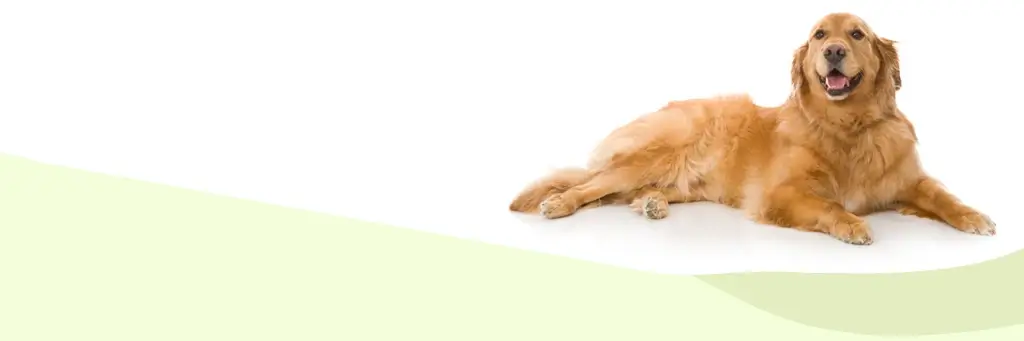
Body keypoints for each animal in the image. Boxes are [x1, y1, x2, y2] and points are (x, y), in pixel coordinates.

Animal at [507, 11, 995, 242]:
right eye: (820, 35)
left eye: (857, 34)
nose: (834, 51)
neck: (847, 126)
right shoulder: (781, 193)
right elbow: (829, 206)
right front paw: (851, 225)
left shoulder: (909, 180)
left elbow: (943, 196)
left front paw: (974, 216)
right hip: (652, 154)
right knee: (590, 186)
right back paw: (559, 203)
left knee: (629, 193)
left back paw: (652, 204)